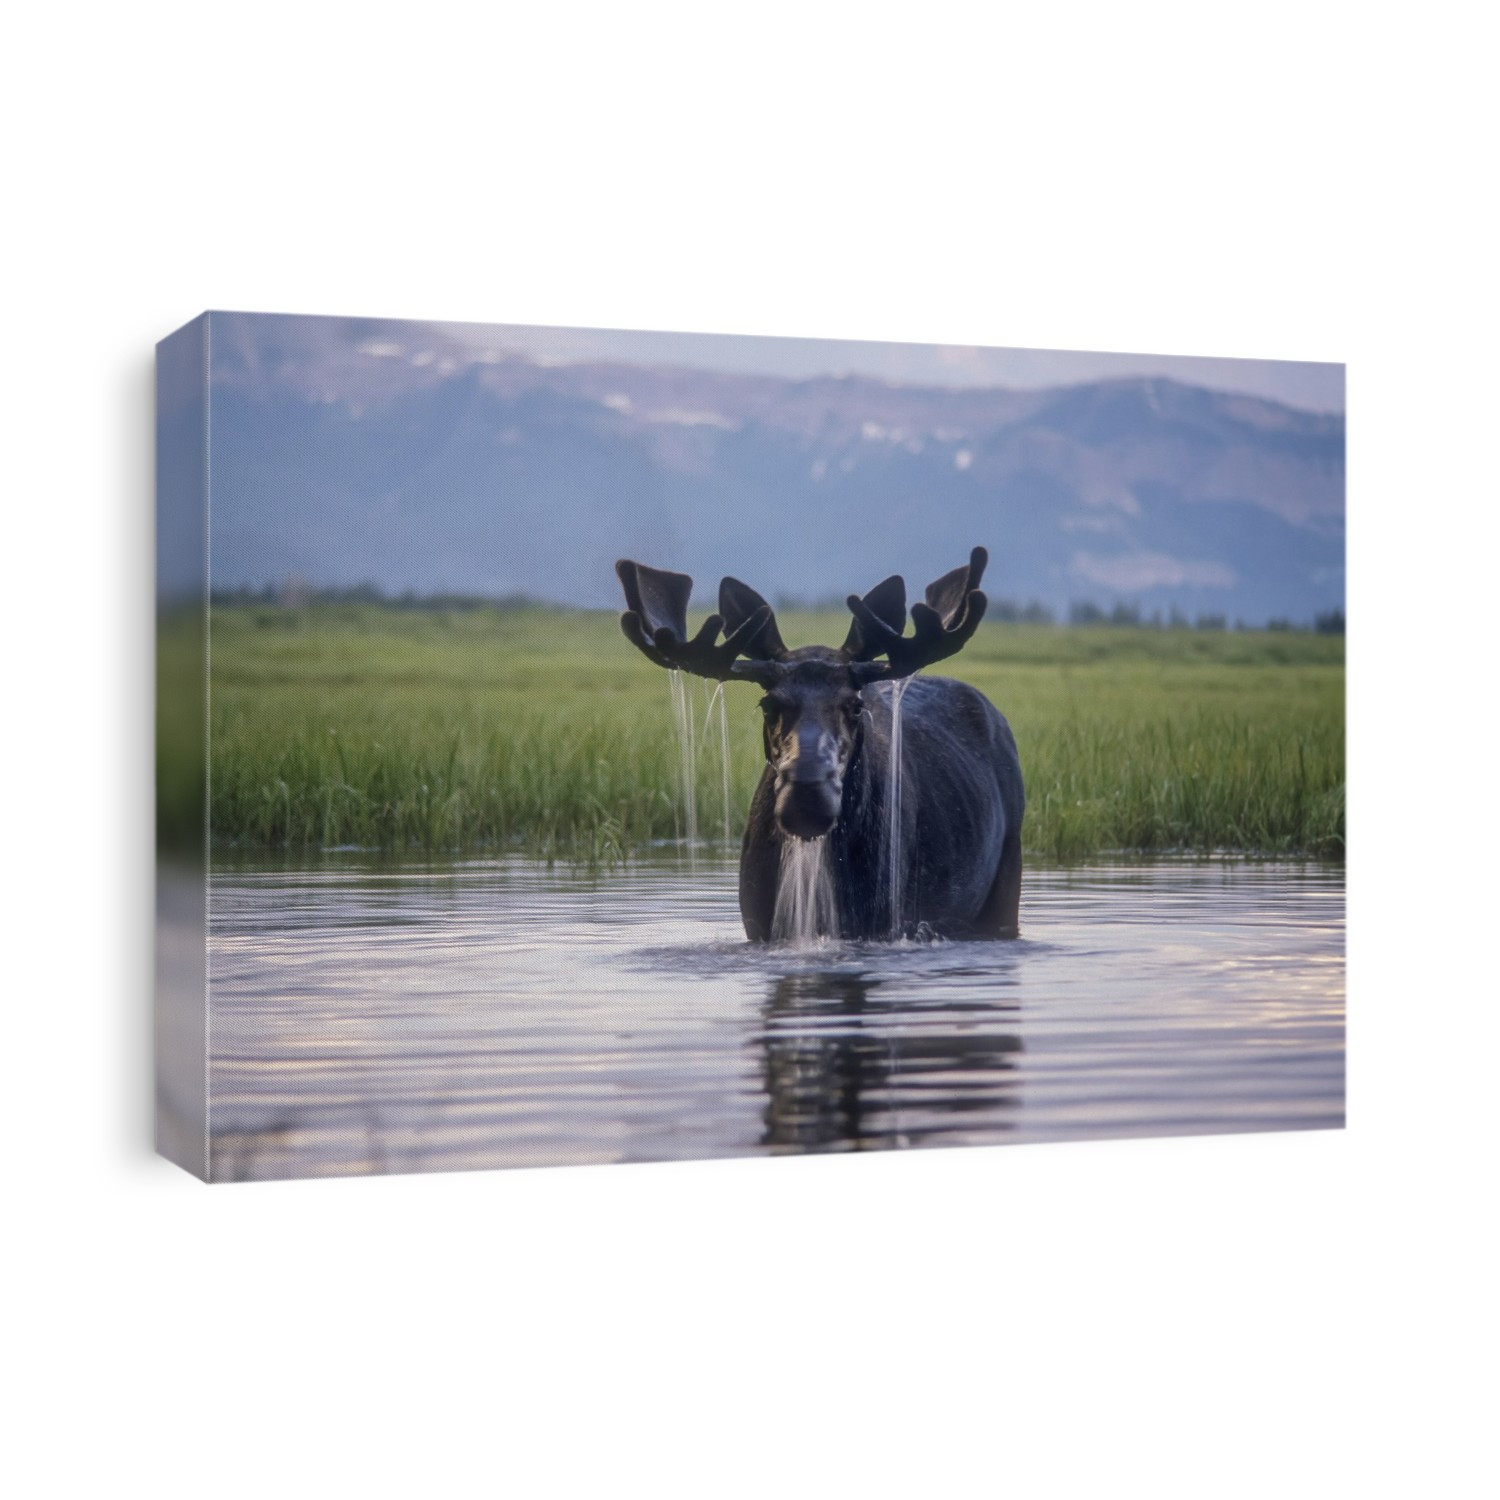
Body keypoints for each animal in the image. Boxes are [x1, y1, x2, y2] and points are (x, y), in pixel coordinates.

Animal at [616, 547, 1024, 942]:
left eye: (855, 704)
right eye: (768, 704)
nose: (807, 798)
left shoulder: (884, 920)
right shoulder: (759, 923)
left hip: (1008, 871)